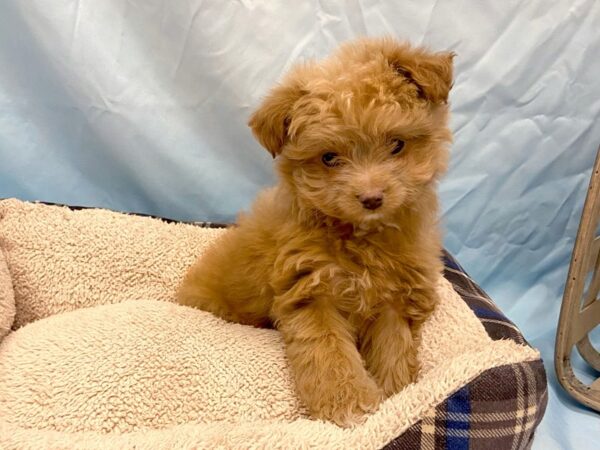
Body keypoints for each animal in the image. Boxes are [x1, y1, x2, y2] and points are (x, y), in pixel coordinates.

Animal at [178, 37, 454, 426]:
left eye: (397, 145)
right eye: (328, 158)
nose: (372, 198)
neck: (362, 237)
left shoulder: (396, 299)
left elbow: (394, 348)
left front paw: (396, 395)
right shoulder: (310, 292)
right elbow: (327, 351)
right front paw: (348, 403)